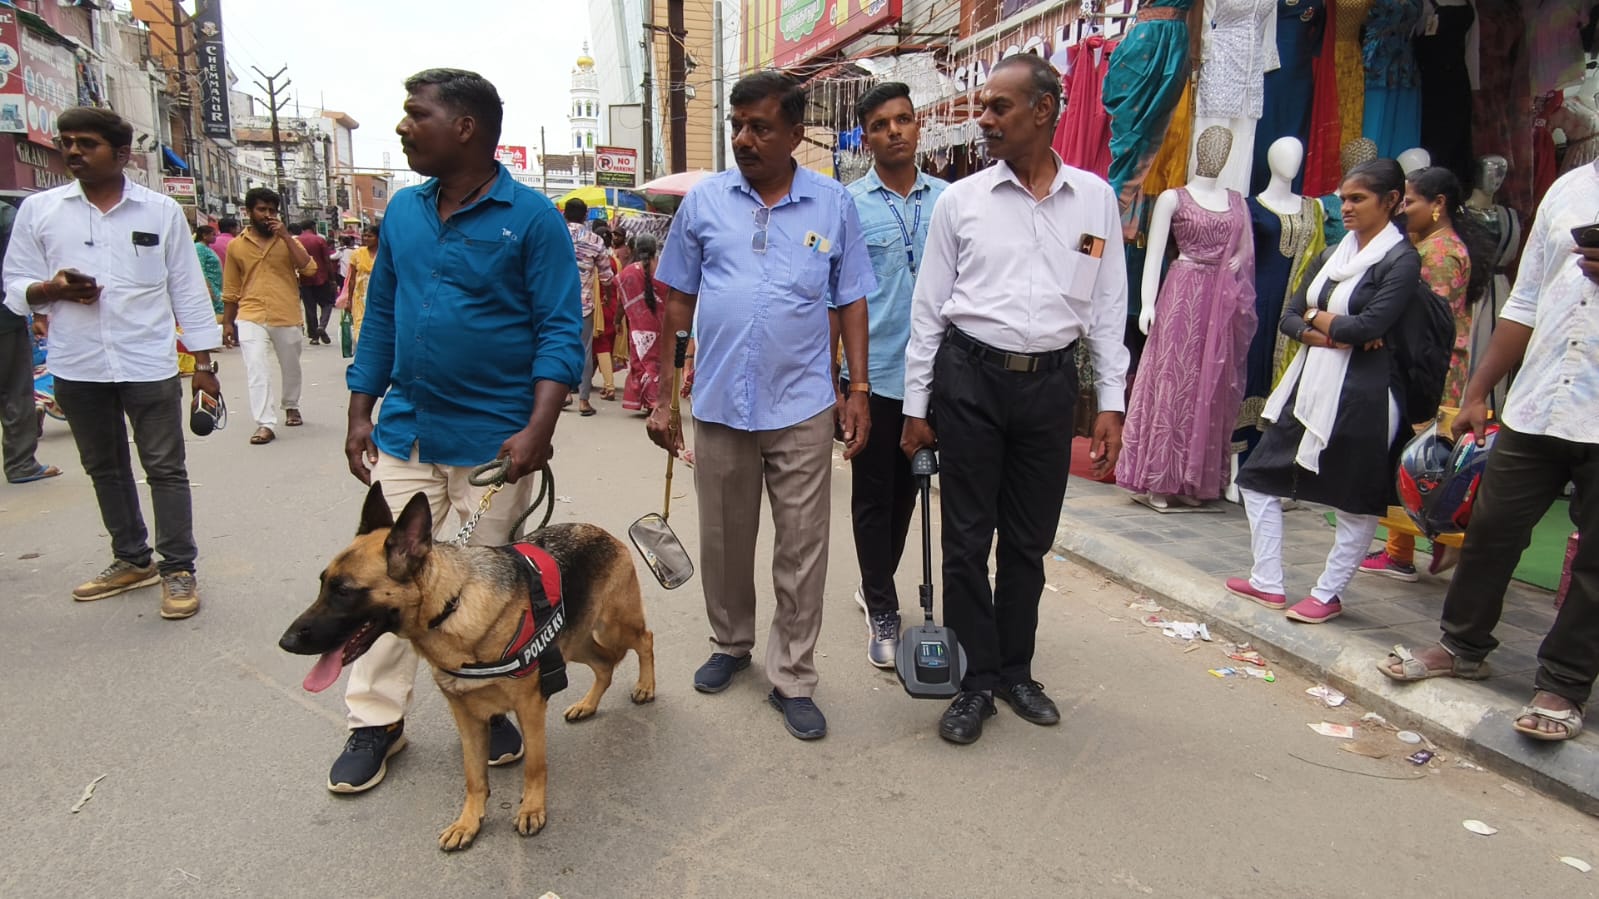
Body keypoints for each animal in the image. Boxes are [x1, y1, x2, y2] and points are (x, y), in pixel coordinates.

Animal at [278, 483, 652, 844]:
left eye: (344, 591)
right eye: (323, 583)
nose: (286, 642)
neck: (452, 605)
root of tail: (600, 531)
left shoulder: (529, 707)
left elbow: (534, 765)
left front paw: (532, 809)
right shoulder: (465, 716)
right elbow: (473, 775)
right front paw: (468, 822)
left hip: (614, 626)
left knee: (645, 640)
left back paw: (646, 686)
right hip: (575, 642)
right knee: (604, 665)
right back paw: (588, 704)